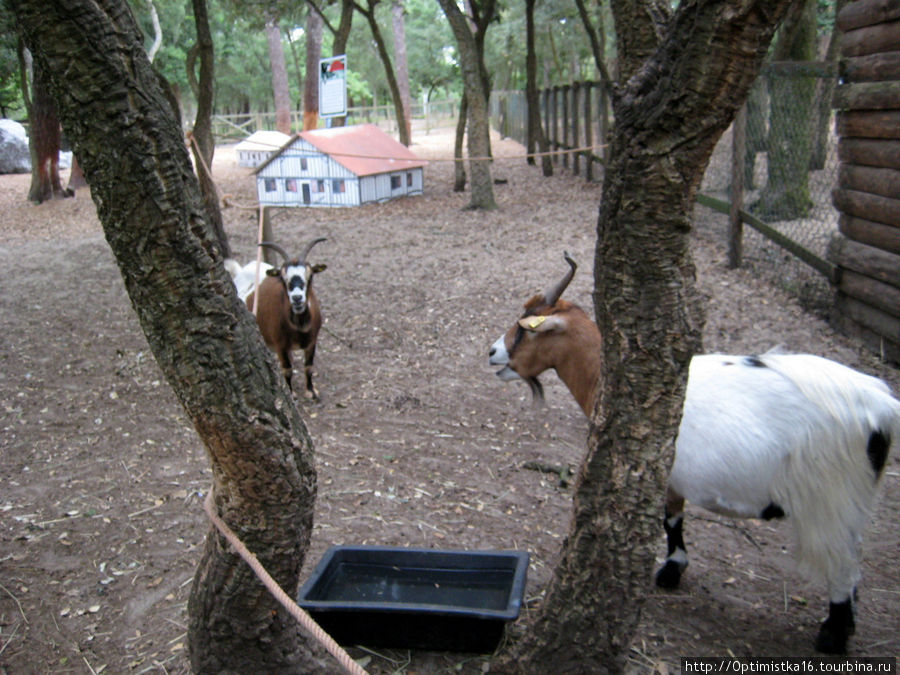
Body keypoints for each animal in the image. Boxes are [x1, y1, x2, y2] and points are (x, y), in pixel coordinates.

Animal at [246, 238, 326, 398]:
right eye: (283, 278)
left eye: (310, 275)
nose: (297, 298)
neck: (300, 327)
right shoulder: (280, 346)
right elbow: (287, 371)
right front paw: (291, 393)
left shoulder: (312, 342)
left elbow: (309, 367)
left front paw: (311, 391)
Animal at [492, 252, 900, 656]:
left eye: (526, 329)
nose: (493, 352)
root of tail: (882, 405)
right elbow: (675, 518)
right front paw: (675, 568)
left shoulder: (663, 471)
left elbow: (669, 519)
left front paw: (670, 570)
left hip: (831, 498)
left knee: (843, 563)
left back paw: (832, 635)